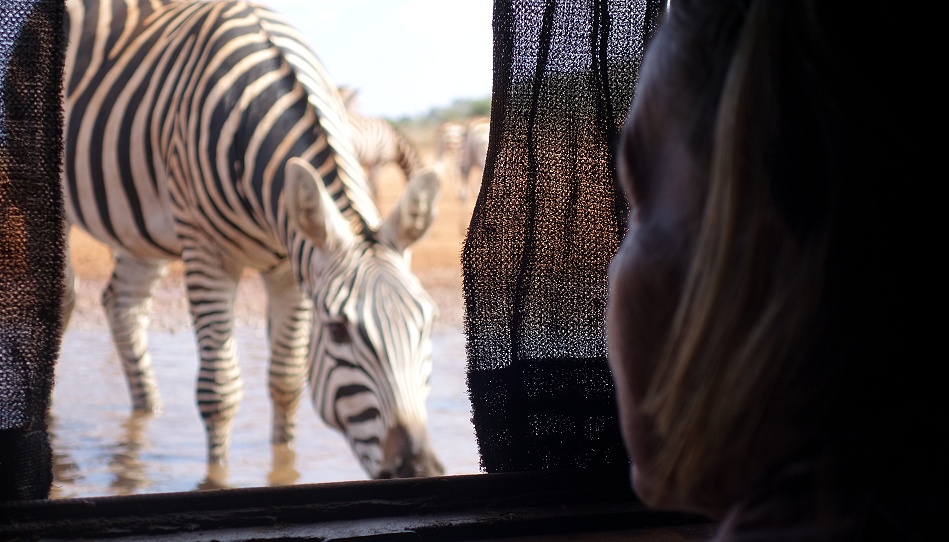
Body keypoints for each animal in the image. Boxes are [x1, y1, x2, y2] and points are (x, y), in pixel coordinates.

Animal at [61, 0, 444, 480]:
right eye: (338, 332)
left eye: (427, 323)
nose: (420, 470)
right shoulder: (207, 252)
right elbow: (220, 391)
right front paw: (217, 478)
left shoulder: (292, 265)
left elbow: (286, 382)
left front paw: (284, 465)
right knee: (62, 298)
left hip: (138, 226)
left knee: (122, 305)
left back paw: (146, 418)